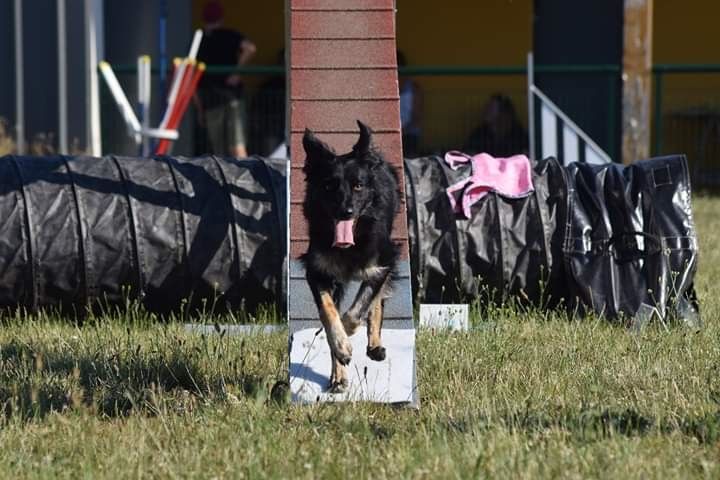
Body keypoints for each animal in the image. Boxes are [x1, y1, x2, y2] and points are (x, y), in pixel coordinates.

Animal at [302, 120, 402, 394]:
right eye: (328, 185)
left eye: (358, 185)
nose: (345, 211)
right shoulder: (317, 271)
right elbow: (329, 314)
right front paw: (340, 348)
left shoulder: (384, 262)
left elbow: (358, 310)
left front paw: (347, 336)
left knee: (376, 301)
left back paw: (374, 345)